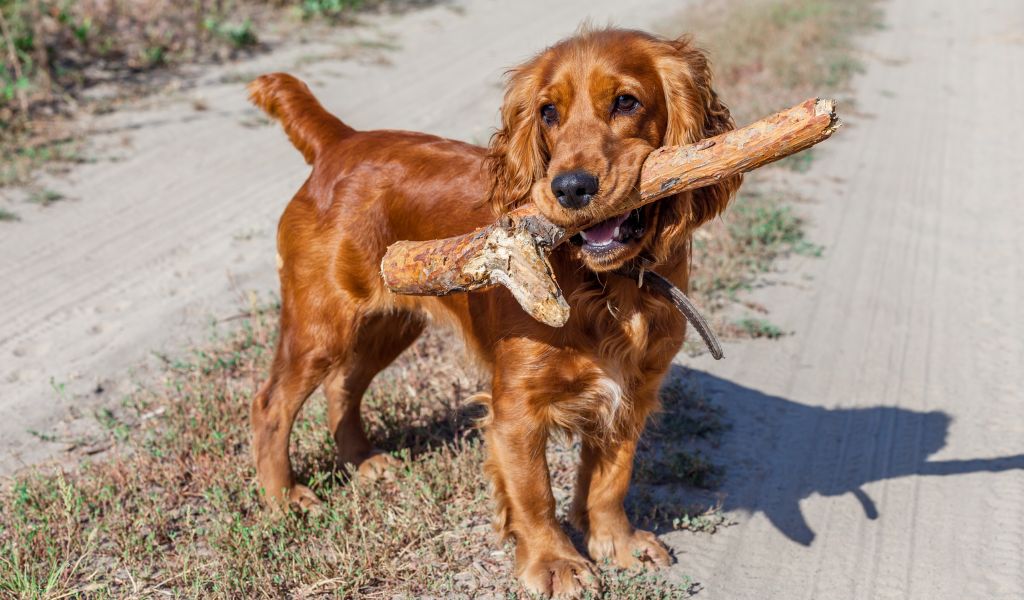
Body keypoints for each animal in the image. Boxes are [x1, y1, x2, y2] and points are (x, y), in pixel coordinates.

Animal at [249, 26, 745, 593]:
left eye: (626, 101)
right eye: (548, 112)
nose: (570, 187)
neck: (607, 287)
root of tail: (341, 141)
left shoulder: (634, 390)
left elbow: (611, 479)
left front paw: (616, 542)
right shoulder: (516, 408)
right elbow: (535, 493)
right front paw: (555, 562)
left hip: (392, 323)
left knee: (343, 385)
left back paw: (364, 461)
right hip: (322, 323)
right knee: (271, 404)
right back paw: (283, 499)